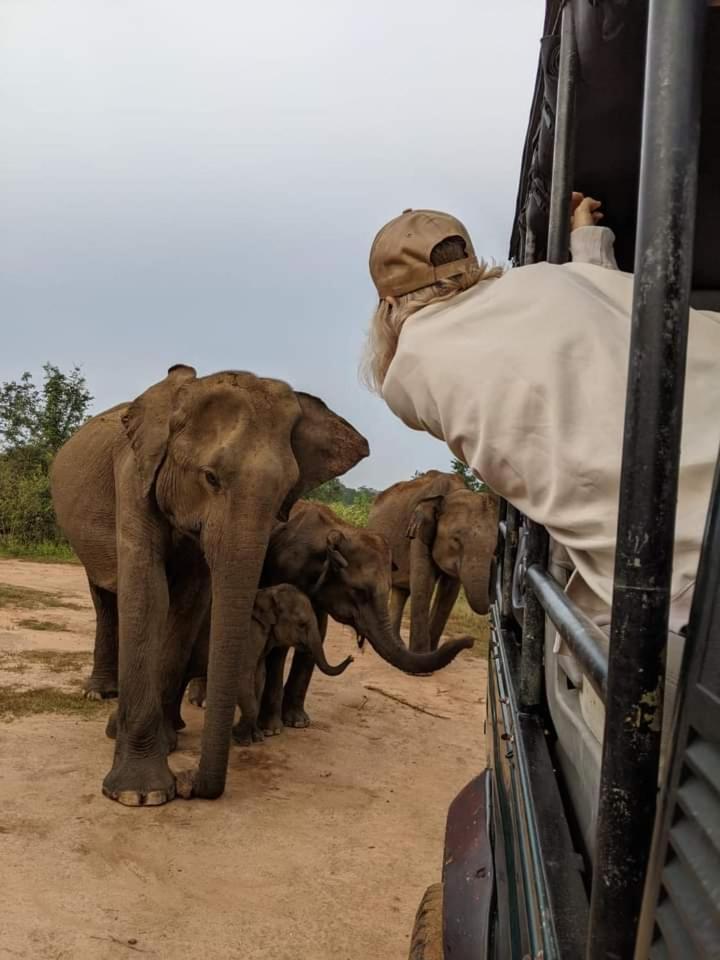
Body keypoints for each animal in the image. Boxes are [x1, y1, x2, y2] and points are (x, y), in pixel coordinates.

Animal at [50, 365, 369, 806]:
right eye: (211, 478)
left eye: (285, 493)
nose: (189, 783)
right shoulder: (133, 476)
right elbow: (146, 590)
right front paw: (141, 793)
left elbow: (188, 603)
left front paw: (167, 745)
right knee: (104, 597)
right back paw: (99, 694)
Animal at [186, 499, 475, 736]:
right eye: (359, 592)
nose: (471, 640)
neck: (339, 531)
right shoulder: (281, 571)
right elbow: (280, 645)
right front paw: (272, 729)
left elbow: (320, 633)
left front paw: (298, 723)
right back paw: (201, 701)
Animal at [367, 470, 499, 653]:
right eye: (456, 540)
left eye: (495, 546)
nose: (471, 641)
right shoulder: (417, 534)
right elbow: (424, 583)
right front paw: (421, 658)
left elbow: (449, 591)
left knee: (401, 591)